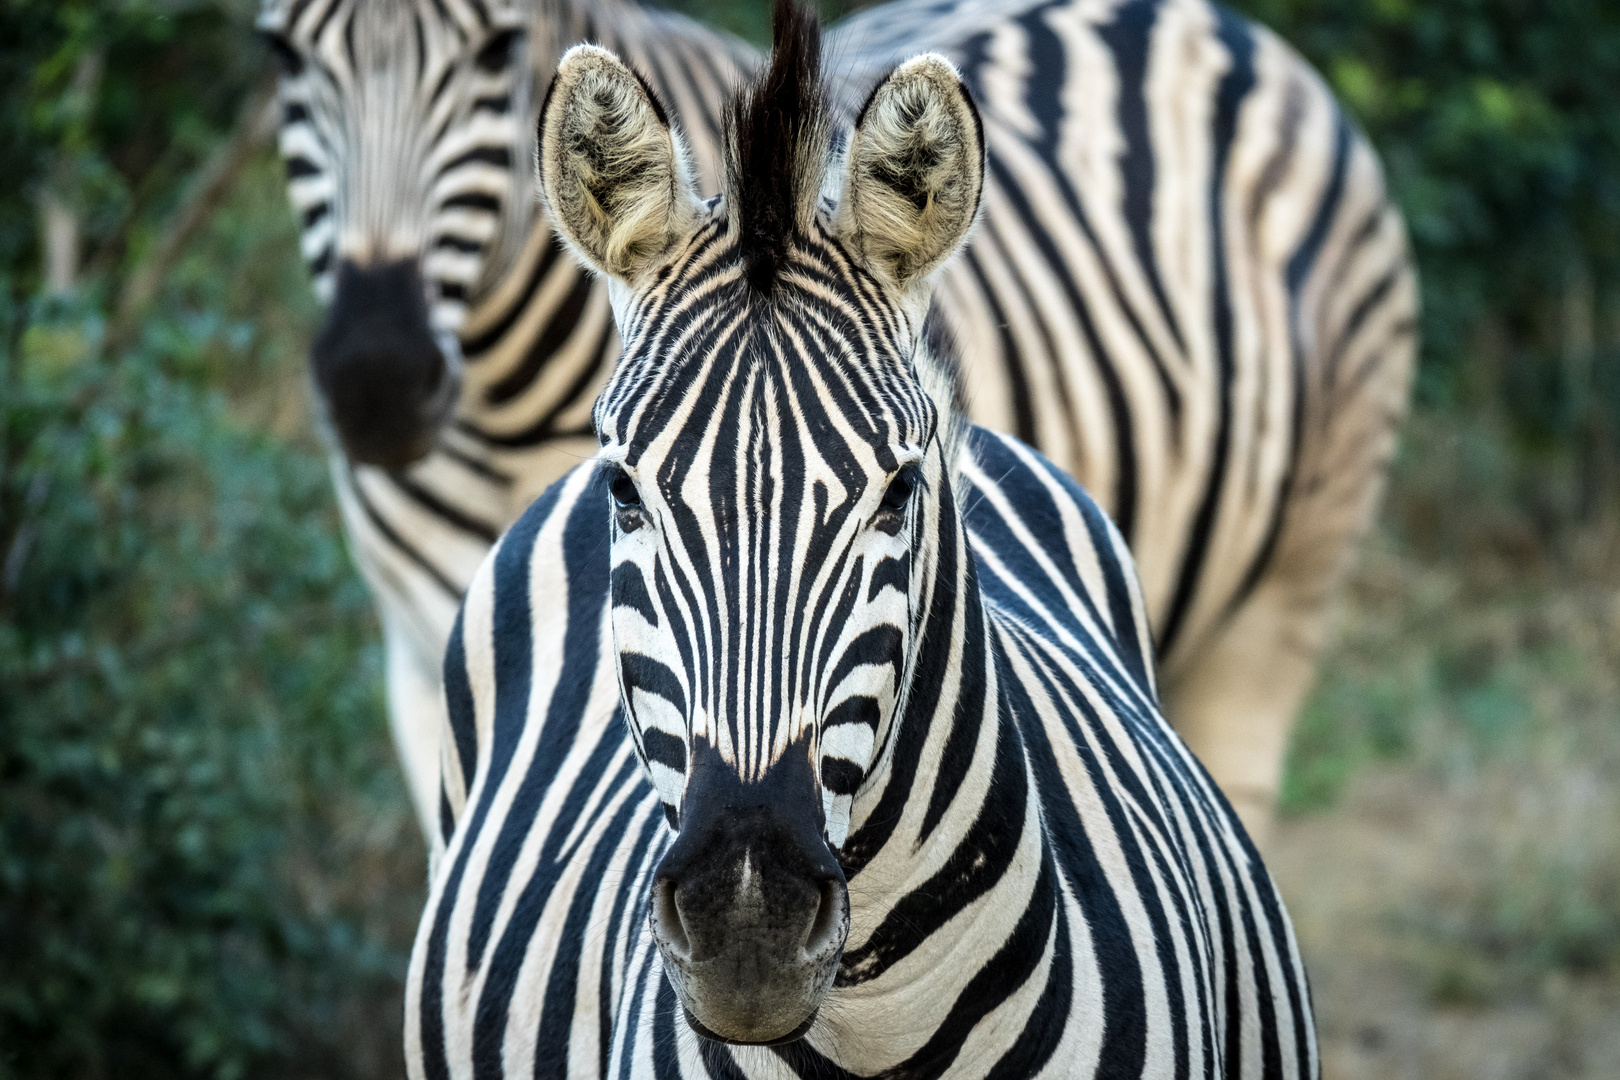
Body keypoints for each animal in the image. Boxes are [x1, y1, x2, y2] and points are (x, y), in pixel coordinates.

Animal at [259, 0, 1412, 841]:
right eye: (281, 56)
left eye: (496, 51)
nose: (374, 382)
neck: (498, 403)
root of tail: (1204, 20)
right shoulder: (423, 672)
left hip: (1288, 586)